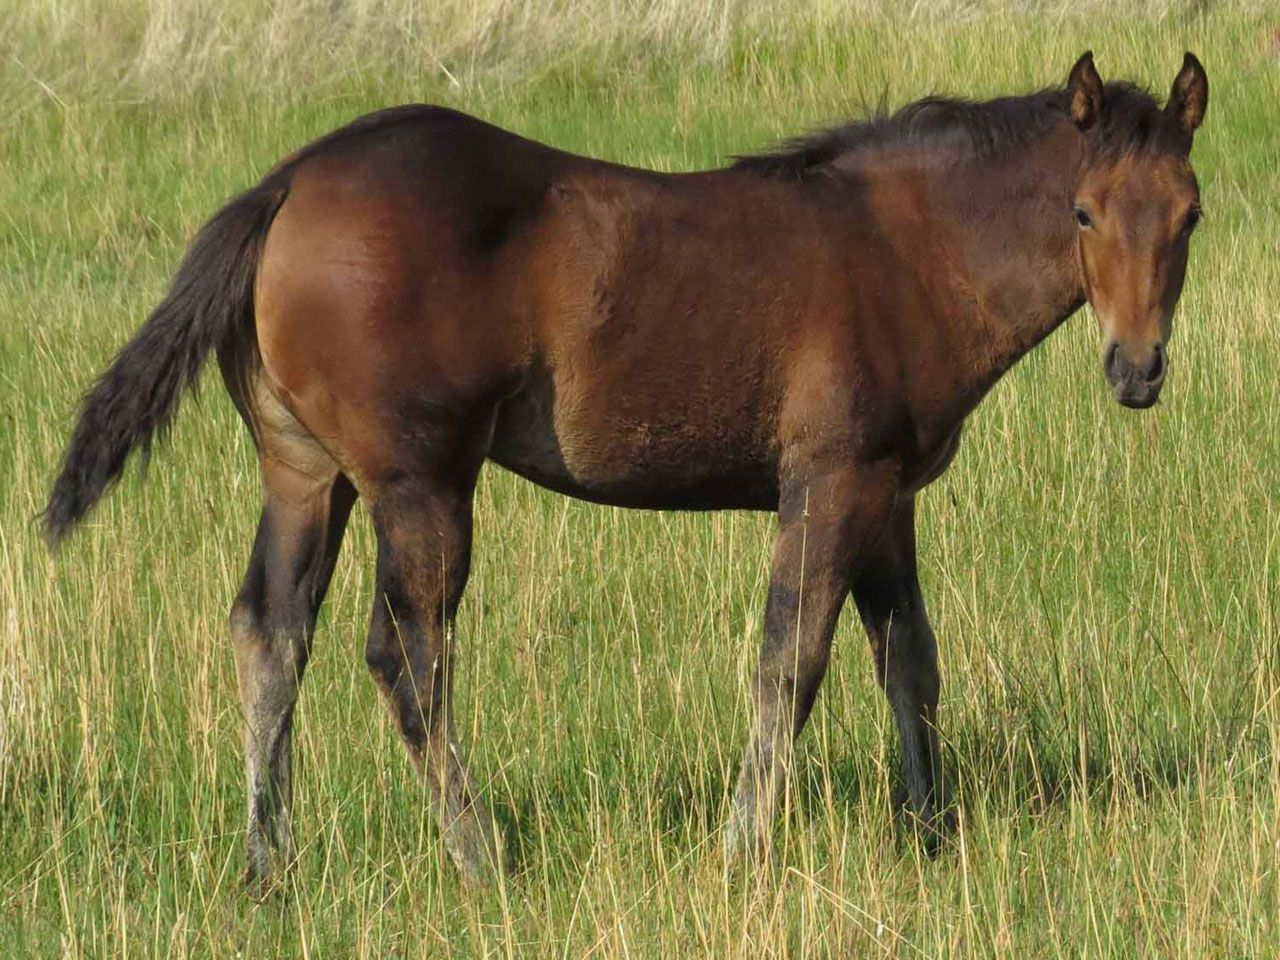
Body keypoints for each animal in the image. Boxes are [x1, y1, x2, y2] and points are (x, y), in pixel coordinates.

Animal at [44, 50, 1208, 888]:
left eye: (1191, 213)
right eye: (1082, 212)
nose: (1137, 368)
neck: (903, 250)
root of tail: (287, 183)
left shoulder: (885, 497)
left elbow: (908, 662)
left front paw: (929, 837)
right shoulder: (829, 480)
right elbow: (790, 663)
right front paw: (744, 850)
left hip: (303, 472)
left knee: (268, 634)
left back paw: (265, 866)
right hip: (419, 482)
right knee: (405, 658)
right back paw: (481, 860)